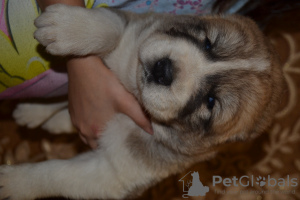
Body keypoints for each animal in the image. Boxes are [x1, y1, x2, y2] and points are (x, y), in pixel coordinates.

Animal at [0, 3, 284, 199]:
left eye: (211, 102)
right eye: (207, 44)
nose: (164, 70)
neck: (134, 92)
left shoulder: (112, 174)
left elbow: (56, 174)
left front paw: (14, 182)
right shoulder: (134, 29)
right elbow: (110, 26)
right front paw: (68, 27)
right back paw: (33, 112)